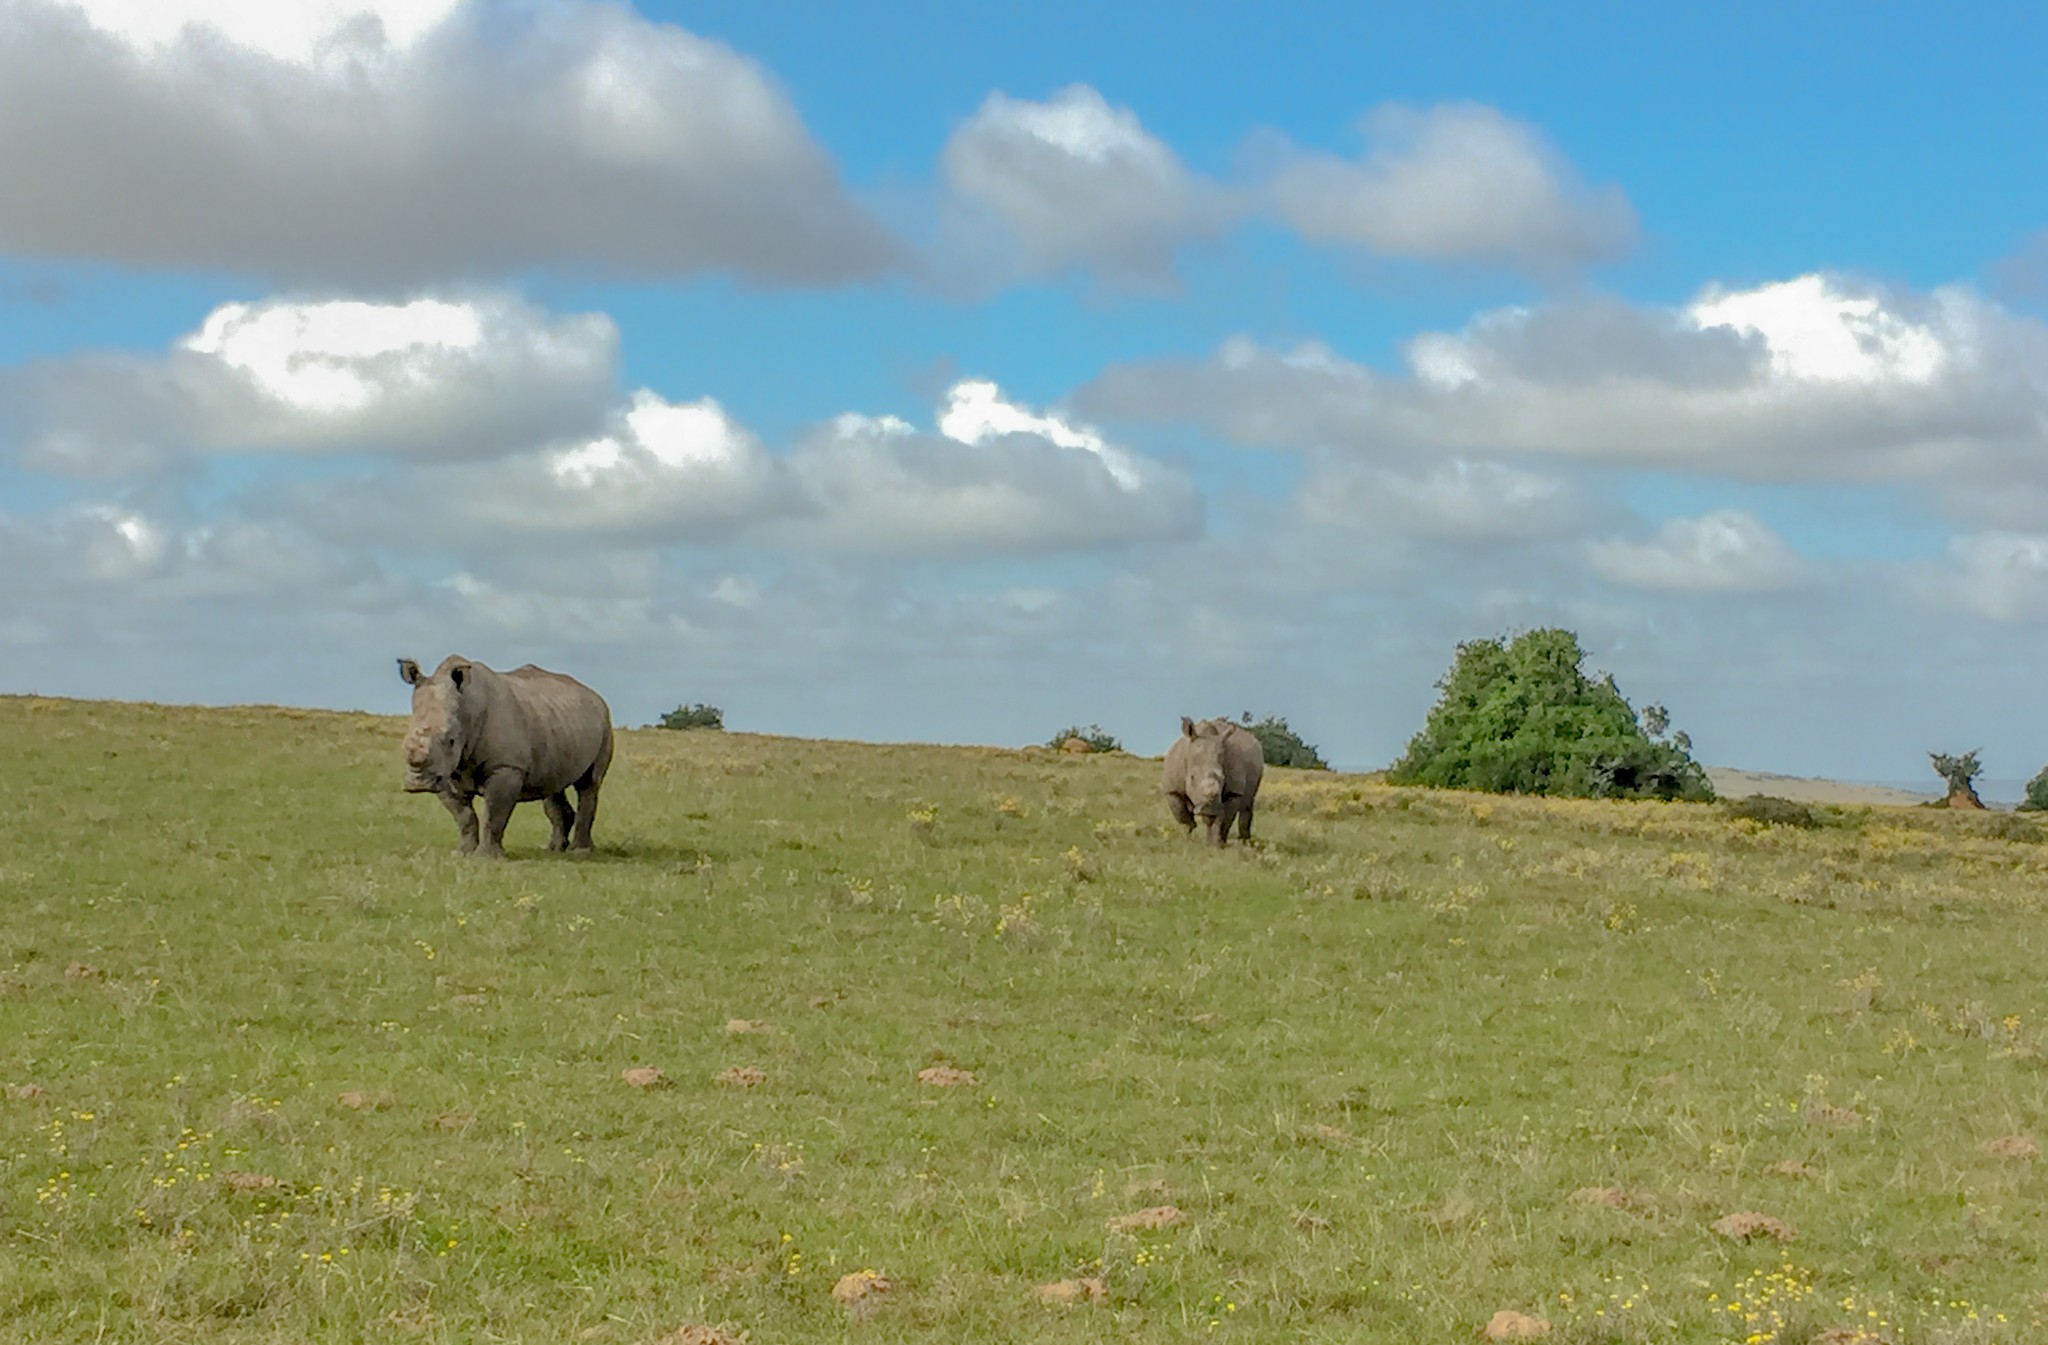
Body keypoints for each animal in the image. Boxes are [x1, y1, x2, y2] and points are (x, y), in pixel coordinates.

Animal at [393, 655, 610, 859]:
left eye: (452, 740)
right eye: (405, 741)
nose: (418, 783)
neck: (467, 710)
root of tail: (594, 693)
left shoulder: (506, 767)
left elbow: (494, 814)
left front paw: (486, 858)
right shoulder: (444, 770)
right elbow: (464, 816)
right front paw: (463, 854)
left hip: (604, 720)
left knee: (589, 783)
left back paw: (580, 852)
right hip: (557, 721)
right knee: (553, 786)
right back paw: (553, 849)